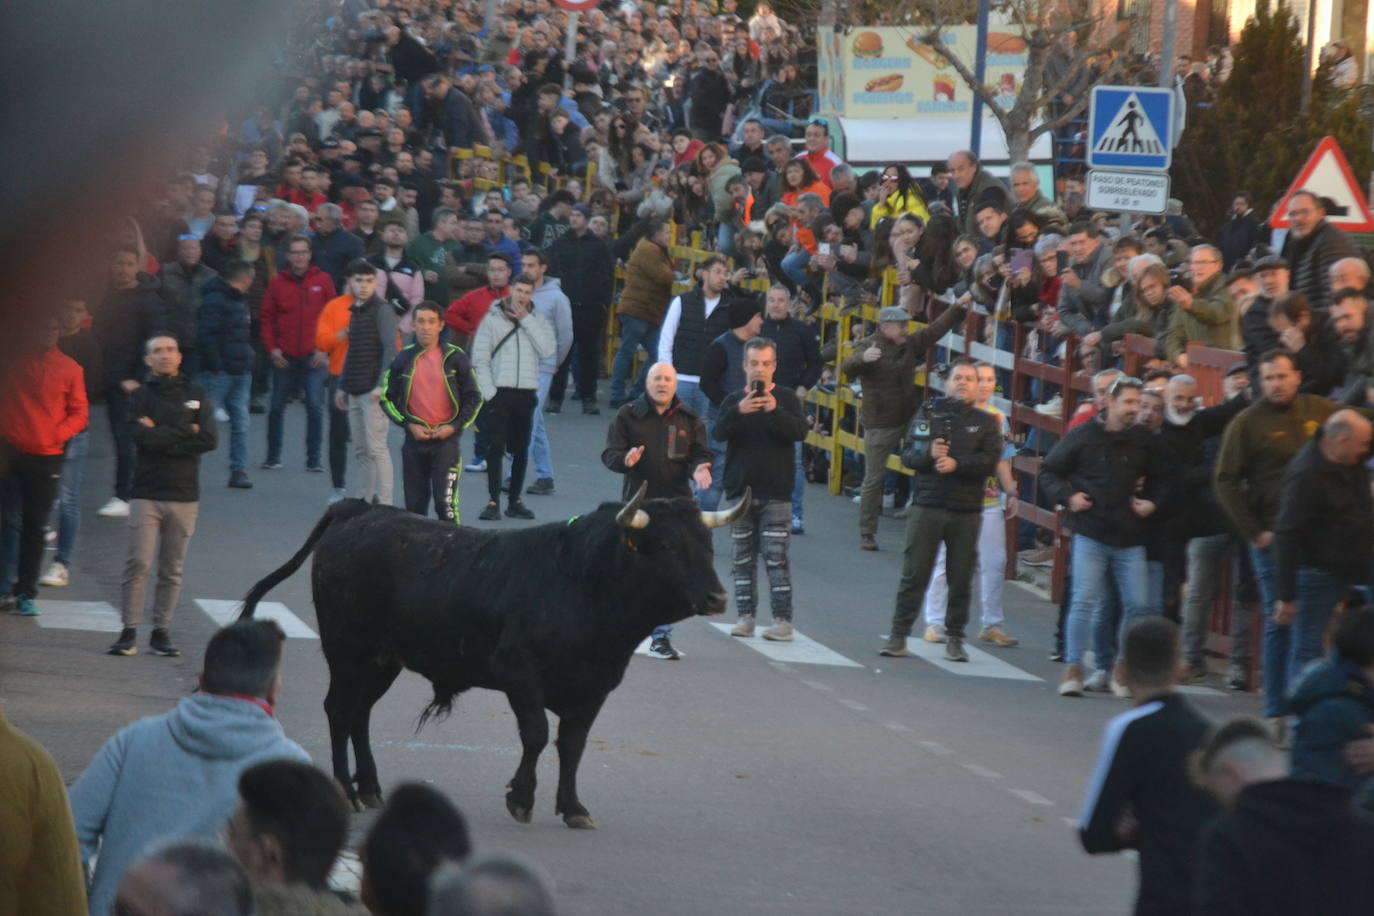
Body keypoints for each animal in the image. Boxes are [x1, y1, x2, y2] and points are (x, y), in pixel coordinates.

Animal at [239, 486, 752, 829]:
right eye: (666, 545)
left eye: (707, 546)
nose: (717, 598)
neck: (582, 583)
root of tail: (359, 510)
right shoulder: (518, 674)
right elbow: (537, 733)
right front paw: (521, 798)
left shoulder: (595, 686)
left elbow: (573, 744)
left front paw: (573, 808)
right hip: (347, 648)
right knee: (339, 709)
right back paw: (346, 791)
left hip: (383, 659)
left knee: (360, 712)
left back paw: (371, 789)